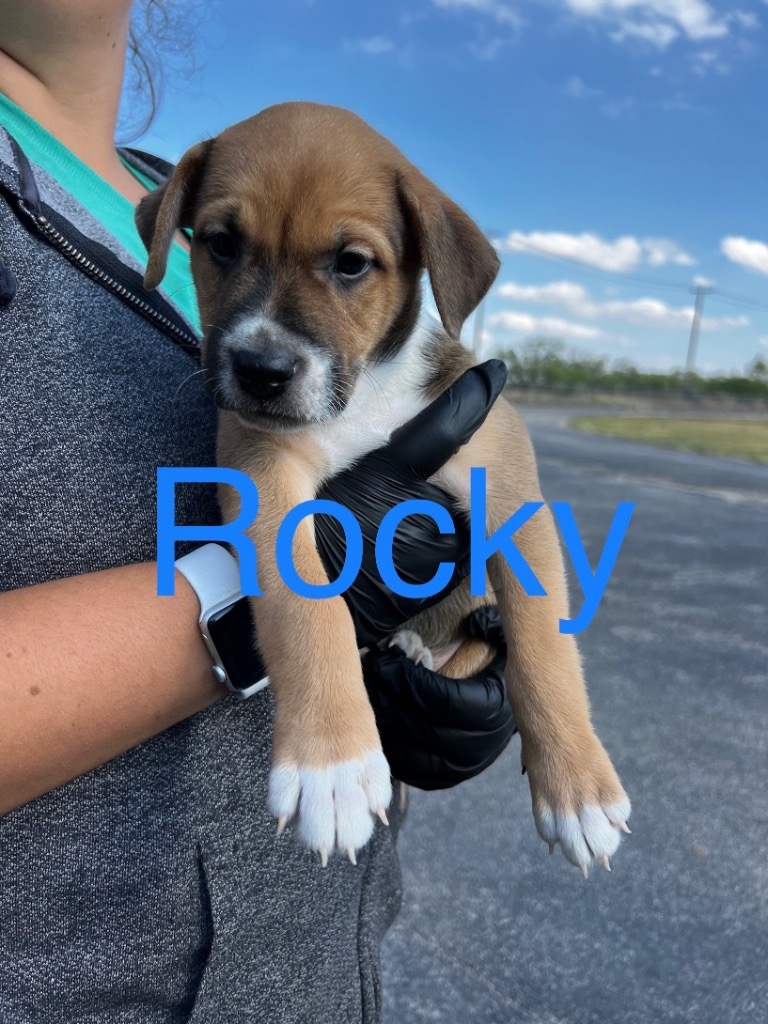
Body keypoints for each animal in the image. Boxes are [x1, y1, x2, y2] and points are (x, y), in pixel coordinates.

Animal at [137, 101, 630, 872]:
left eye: (351, 264)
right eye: (220, 244)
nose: (260, 371)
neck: (366, 393)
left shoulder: (514, 501)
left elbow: (543, 646)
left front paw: (579, 789)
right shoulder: (265, 477)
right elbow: (306, 612)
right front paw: (331, 766)